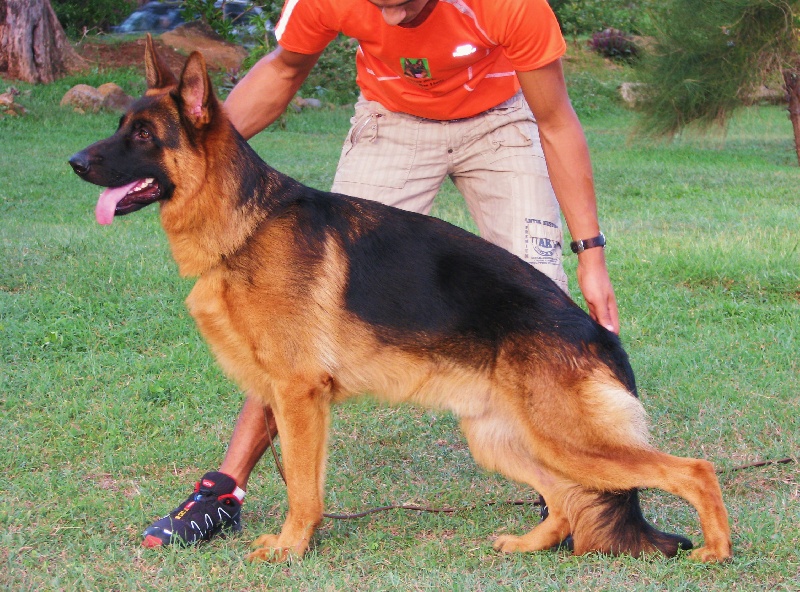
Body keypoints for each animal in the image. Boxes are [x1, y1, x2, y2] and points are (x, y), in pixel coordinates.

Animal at [69, 38, 732, 564]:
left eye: (143, 135)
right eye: (121, 125)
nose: (74, 161)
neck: (245, 225)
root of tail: (598, 332)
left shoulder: (299, 394)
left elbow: (302, 488)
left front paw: (290, 547)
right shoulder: (282, 391)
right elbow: (293, 474)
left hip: (570, 441)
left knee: (693, 470)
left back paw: (716, 552)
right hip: (502, 439)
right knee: (567, 500)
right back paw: (527, 544)